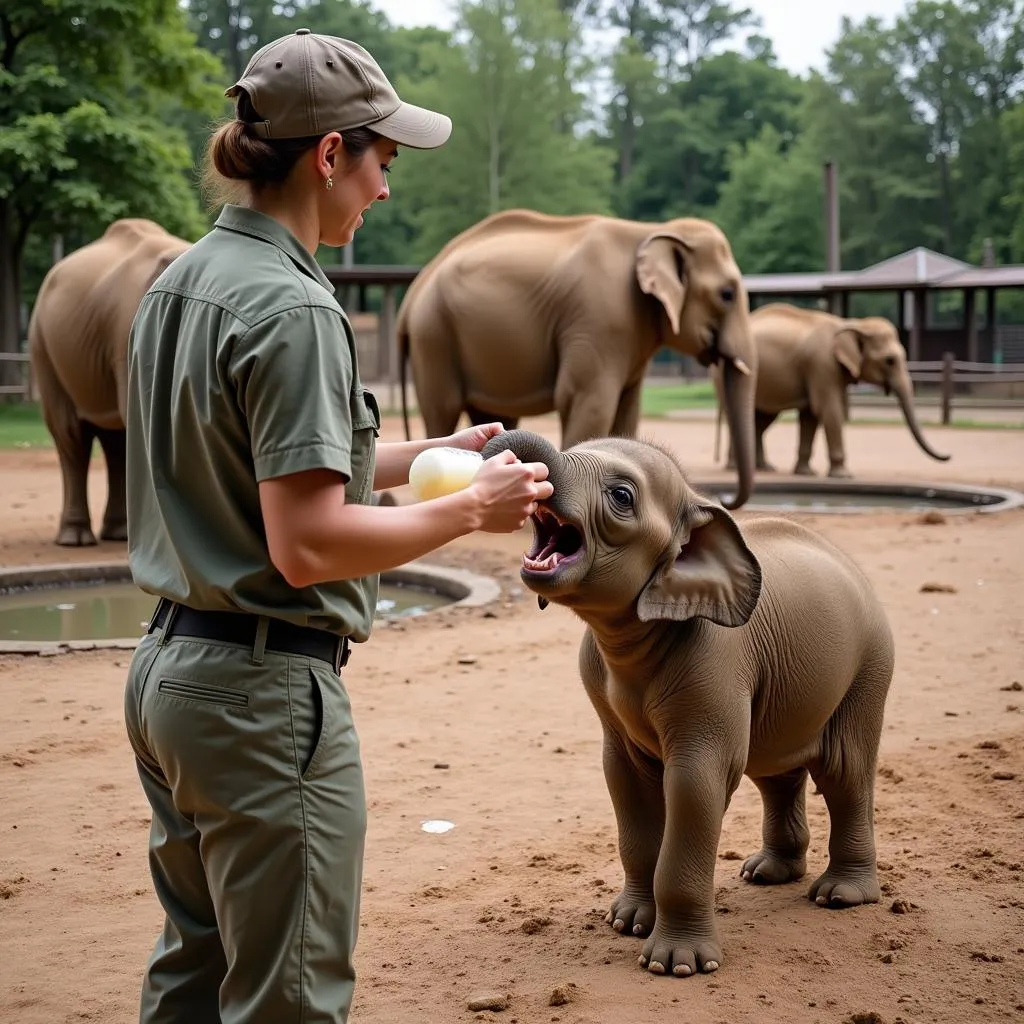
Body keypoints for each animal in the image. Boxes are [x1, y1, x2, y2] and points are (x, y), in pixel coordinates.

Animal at [27, 221, 192, 548]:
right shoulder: (126, 336)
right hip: (43, 345)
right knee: (71, 435)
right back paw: (75, 539)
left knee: (116, 441)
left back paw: (118, 534)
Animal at [395, 208, 757, 512]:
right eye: (727, 294)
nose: (723, 496)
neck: (650, 232)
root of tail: (413, 293)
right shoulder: (599, 319)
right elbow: (589, 402)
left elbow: (628, 410)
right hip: (434, 335)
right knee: (442, 409)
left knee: (492, 414)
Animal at [483, 428, 892, 978]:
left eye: (621, 496)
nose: (507, 450)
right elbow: (624, 778)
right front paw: (626, 922)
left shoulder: (715, 661)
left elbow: (699, 782)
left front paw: (675, 965)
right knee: (775, 772)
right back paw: (767, 873)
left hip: (870, 665)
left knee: (844, 770)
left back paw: (839, 895)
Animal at [712, 301, 950, 477]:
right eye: (889, 361)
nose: (948, 456)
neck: (853, 324)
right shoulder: (821, 364)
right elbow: (829, 409)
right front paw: (844, 476)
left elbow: (810, 416)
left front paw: (806, 473)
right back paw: (736, 467)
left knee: (761, 419)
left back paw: (764, 468)